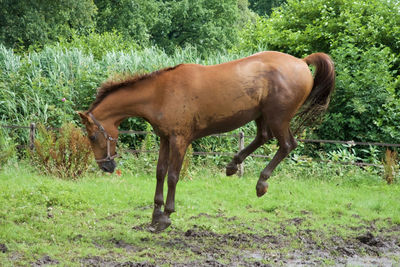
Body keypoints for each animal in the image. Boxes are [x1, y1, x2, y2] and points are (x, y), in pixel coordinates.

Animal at [78, 51, 334, 231]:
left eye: (92, 135)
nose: (105, 166)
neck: (160, 93)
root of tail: (301, 62)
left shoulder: (180, 140)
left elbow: (173, 176)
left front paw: (166, 217)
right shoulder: (165, 139)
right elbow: (160, 173)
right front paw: (154, 216)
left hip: (277, 118)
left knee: (288, 145)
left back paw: (262, 182)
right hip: (262, 116)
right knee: (263, 137)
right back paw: (233, 165)